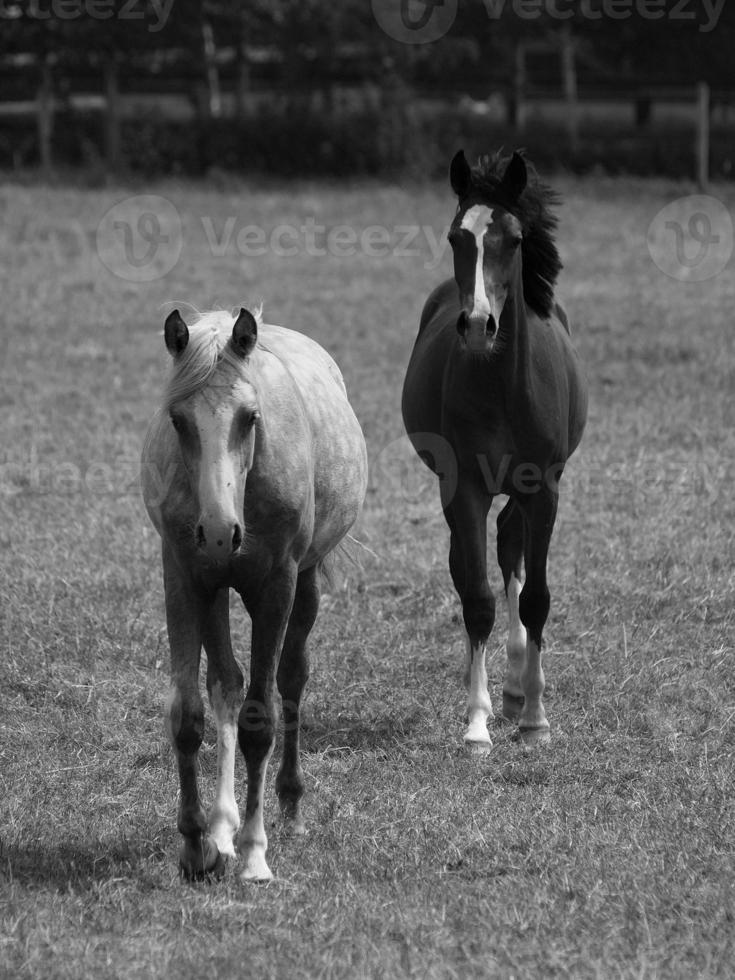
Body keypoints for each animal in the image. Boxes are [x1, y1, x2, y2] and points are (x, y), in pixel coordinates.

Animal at [142, 306, 368, 880]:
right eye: (178, 420)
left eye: (250, 417)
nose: (220, 534)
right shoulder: (185, 578)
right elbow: (190, 714)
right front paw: (197, 845)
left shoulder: (276, 587)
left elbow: (259, 718)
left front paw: (254, 854)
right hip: (216, 591)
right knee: (225, 684)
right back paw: (222, 826)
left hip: (304, 585)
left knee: (291, 678)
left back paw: (288, 806)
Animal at [400, 151, 588, 752]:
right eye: (456, 236)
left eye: (514, 237)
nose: (480, 324)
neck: (504, 387)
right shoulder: (464, 487)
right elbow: (477, 599)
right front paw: (477, 724)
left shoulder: (543, 489)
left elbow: (536, 597)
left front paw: (535, 719)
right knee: (469, 569)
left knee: (510, 552)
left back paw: (518, 689)